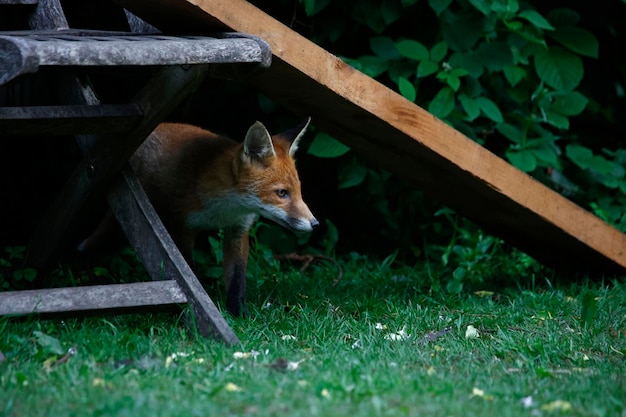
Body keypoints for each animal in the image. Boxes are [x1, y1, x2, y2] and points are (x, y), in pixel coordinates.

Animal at [79, 117, 316, 316]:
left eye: (299, 190)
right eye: (281, 193)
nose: (315, 223)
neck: (224, 210)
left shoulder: (238, 230)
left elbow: (237, 280)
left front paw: (239, 313)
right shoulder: (182, 227)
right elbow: (188, 273)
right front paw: (200, 305)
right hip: (127, 223)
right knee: (91, 245)